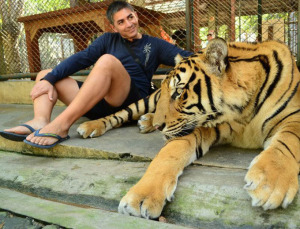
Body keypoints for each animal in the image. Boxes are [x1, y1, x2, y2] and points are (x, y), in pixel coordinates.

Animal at [77, 38, 300, 219]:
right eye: (169, 92)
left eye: (179, 92)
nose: (159, 126)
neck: (243, 109)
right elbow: (169, 154)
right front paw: (140, 198)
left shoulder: (294, 117)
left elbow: (288, 140)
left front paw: (270, 184)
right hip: (148, 100)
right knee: (122, 112)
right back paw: (90, 126)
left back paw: (146, 121)